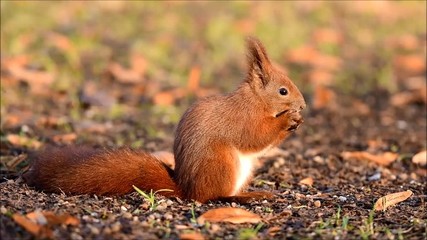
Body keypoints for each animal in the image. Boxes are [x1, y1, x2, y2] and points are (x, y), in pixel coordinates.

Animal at [23, 36, 306, 203]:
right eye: (283, 91)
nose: (303, 105)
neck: (255, 100)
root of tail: (187, 189)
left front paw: (296, 120)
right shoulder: (242, 119)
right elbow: (254, 137)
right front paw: (288, 120)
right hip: (222, 163)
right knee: (212, 197)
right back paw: (243, 197)